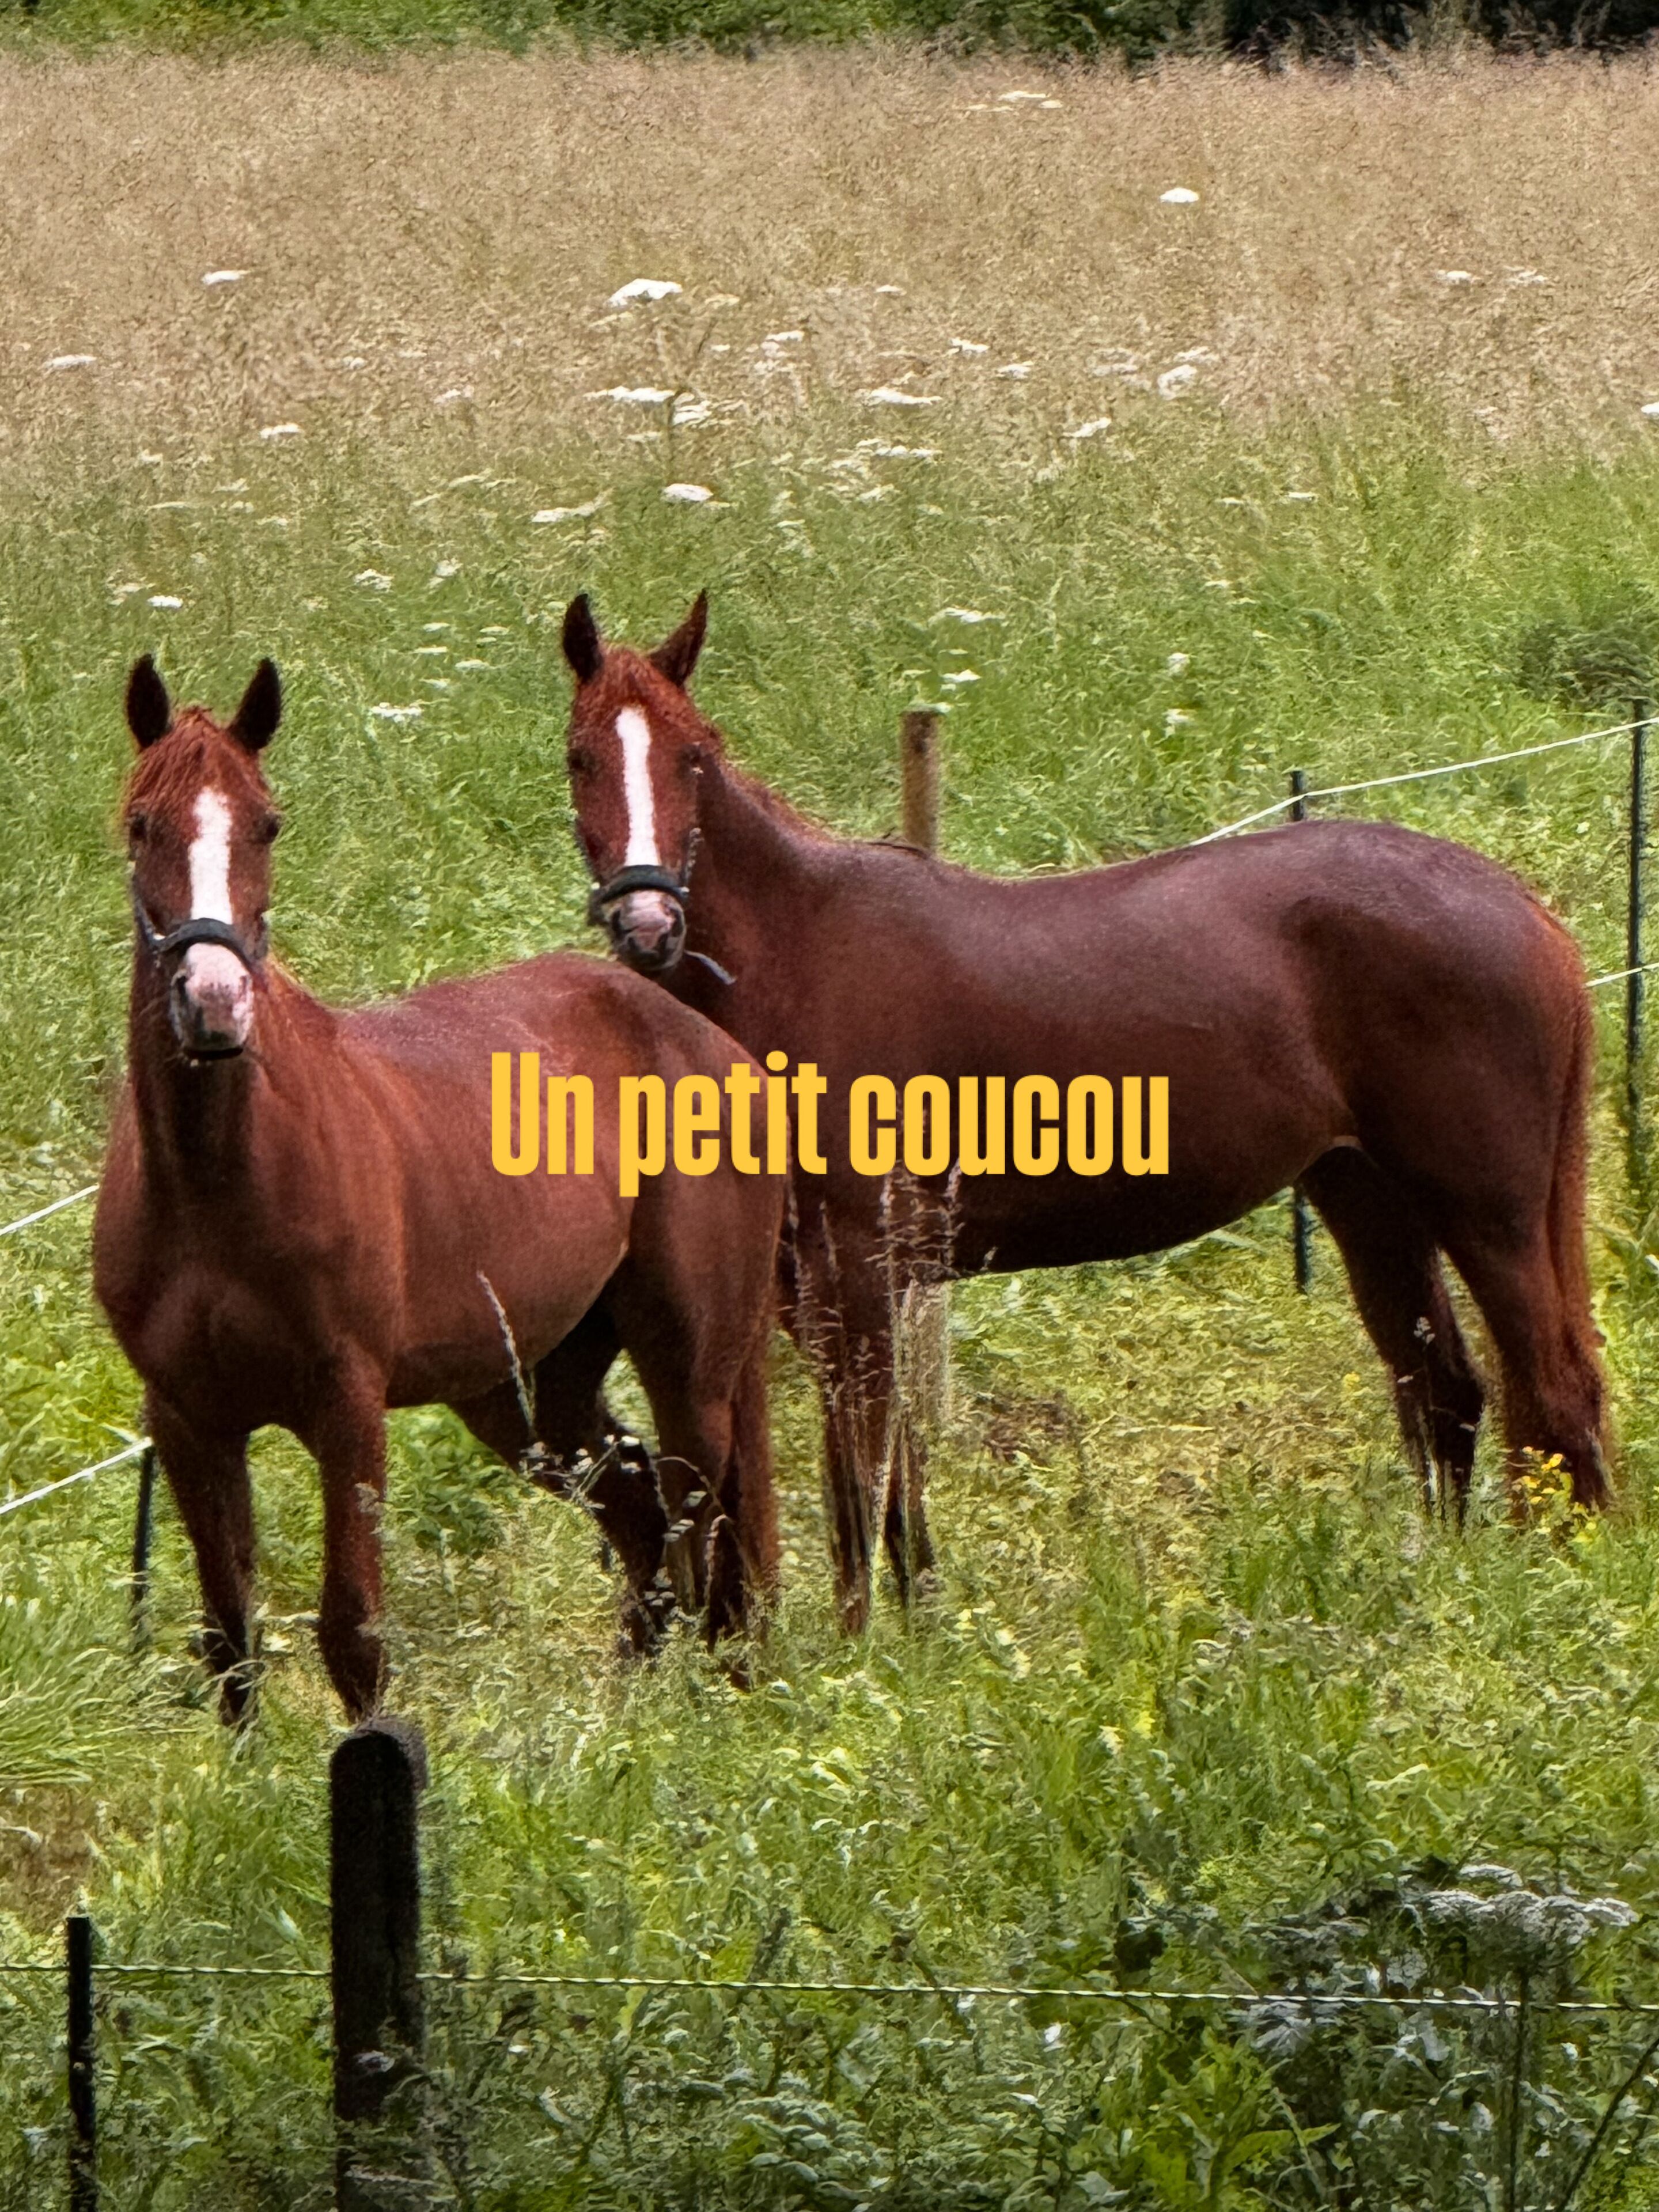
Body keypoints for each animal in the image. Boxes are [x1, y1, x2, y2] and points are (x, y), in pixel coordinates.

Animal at [93, 655, 784, 1723]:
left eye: (267, 823)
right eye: (142, 824)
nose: (214, 1003)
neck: (219, 1180)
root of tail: (708, 1041)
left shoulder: (348, 1405)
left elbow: (353, 1633)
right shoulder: (188, 1419)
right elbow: (232, 1640)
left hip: (692, 1360)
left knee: (696, 1525)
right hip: (532, 1393)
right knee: (639, 1516)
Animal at [559, 591, 1610, 1631]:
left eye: (695, 754)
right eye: (581, 756)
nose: (649, 924)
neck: (800, 954)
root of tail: (1524, 908)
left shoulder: (852, 1272)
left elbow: (859, 1481)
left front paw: (867, 1654)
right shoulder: (813, 1289)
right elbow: (896, 1486)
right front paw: (924, 1628)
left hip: (1488, 1212)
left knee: (1558, 1389)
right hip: (1367, 1199)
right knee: (1446, 1394)